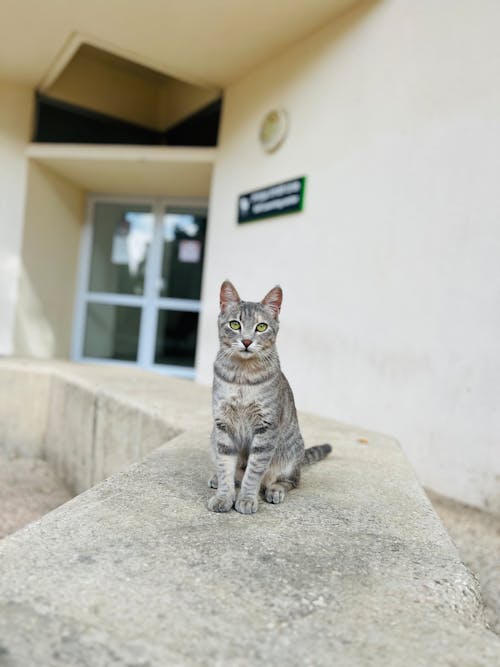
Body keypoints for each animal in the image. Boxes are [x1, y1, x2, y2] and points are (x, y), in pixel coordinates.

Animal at [207, 280, 332, 516]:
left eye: (261, 327)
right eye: (235, 325)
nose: (247, 341)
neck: (242, 377)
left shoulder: (266, 429)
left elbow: (253, 472)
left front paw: (246, 499)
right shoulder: (223, 425)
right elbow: (225, 467)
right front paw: (223, 496)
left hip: (291, 452)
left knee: (291, 480)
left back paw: (275, 490)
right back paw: (217, 479)